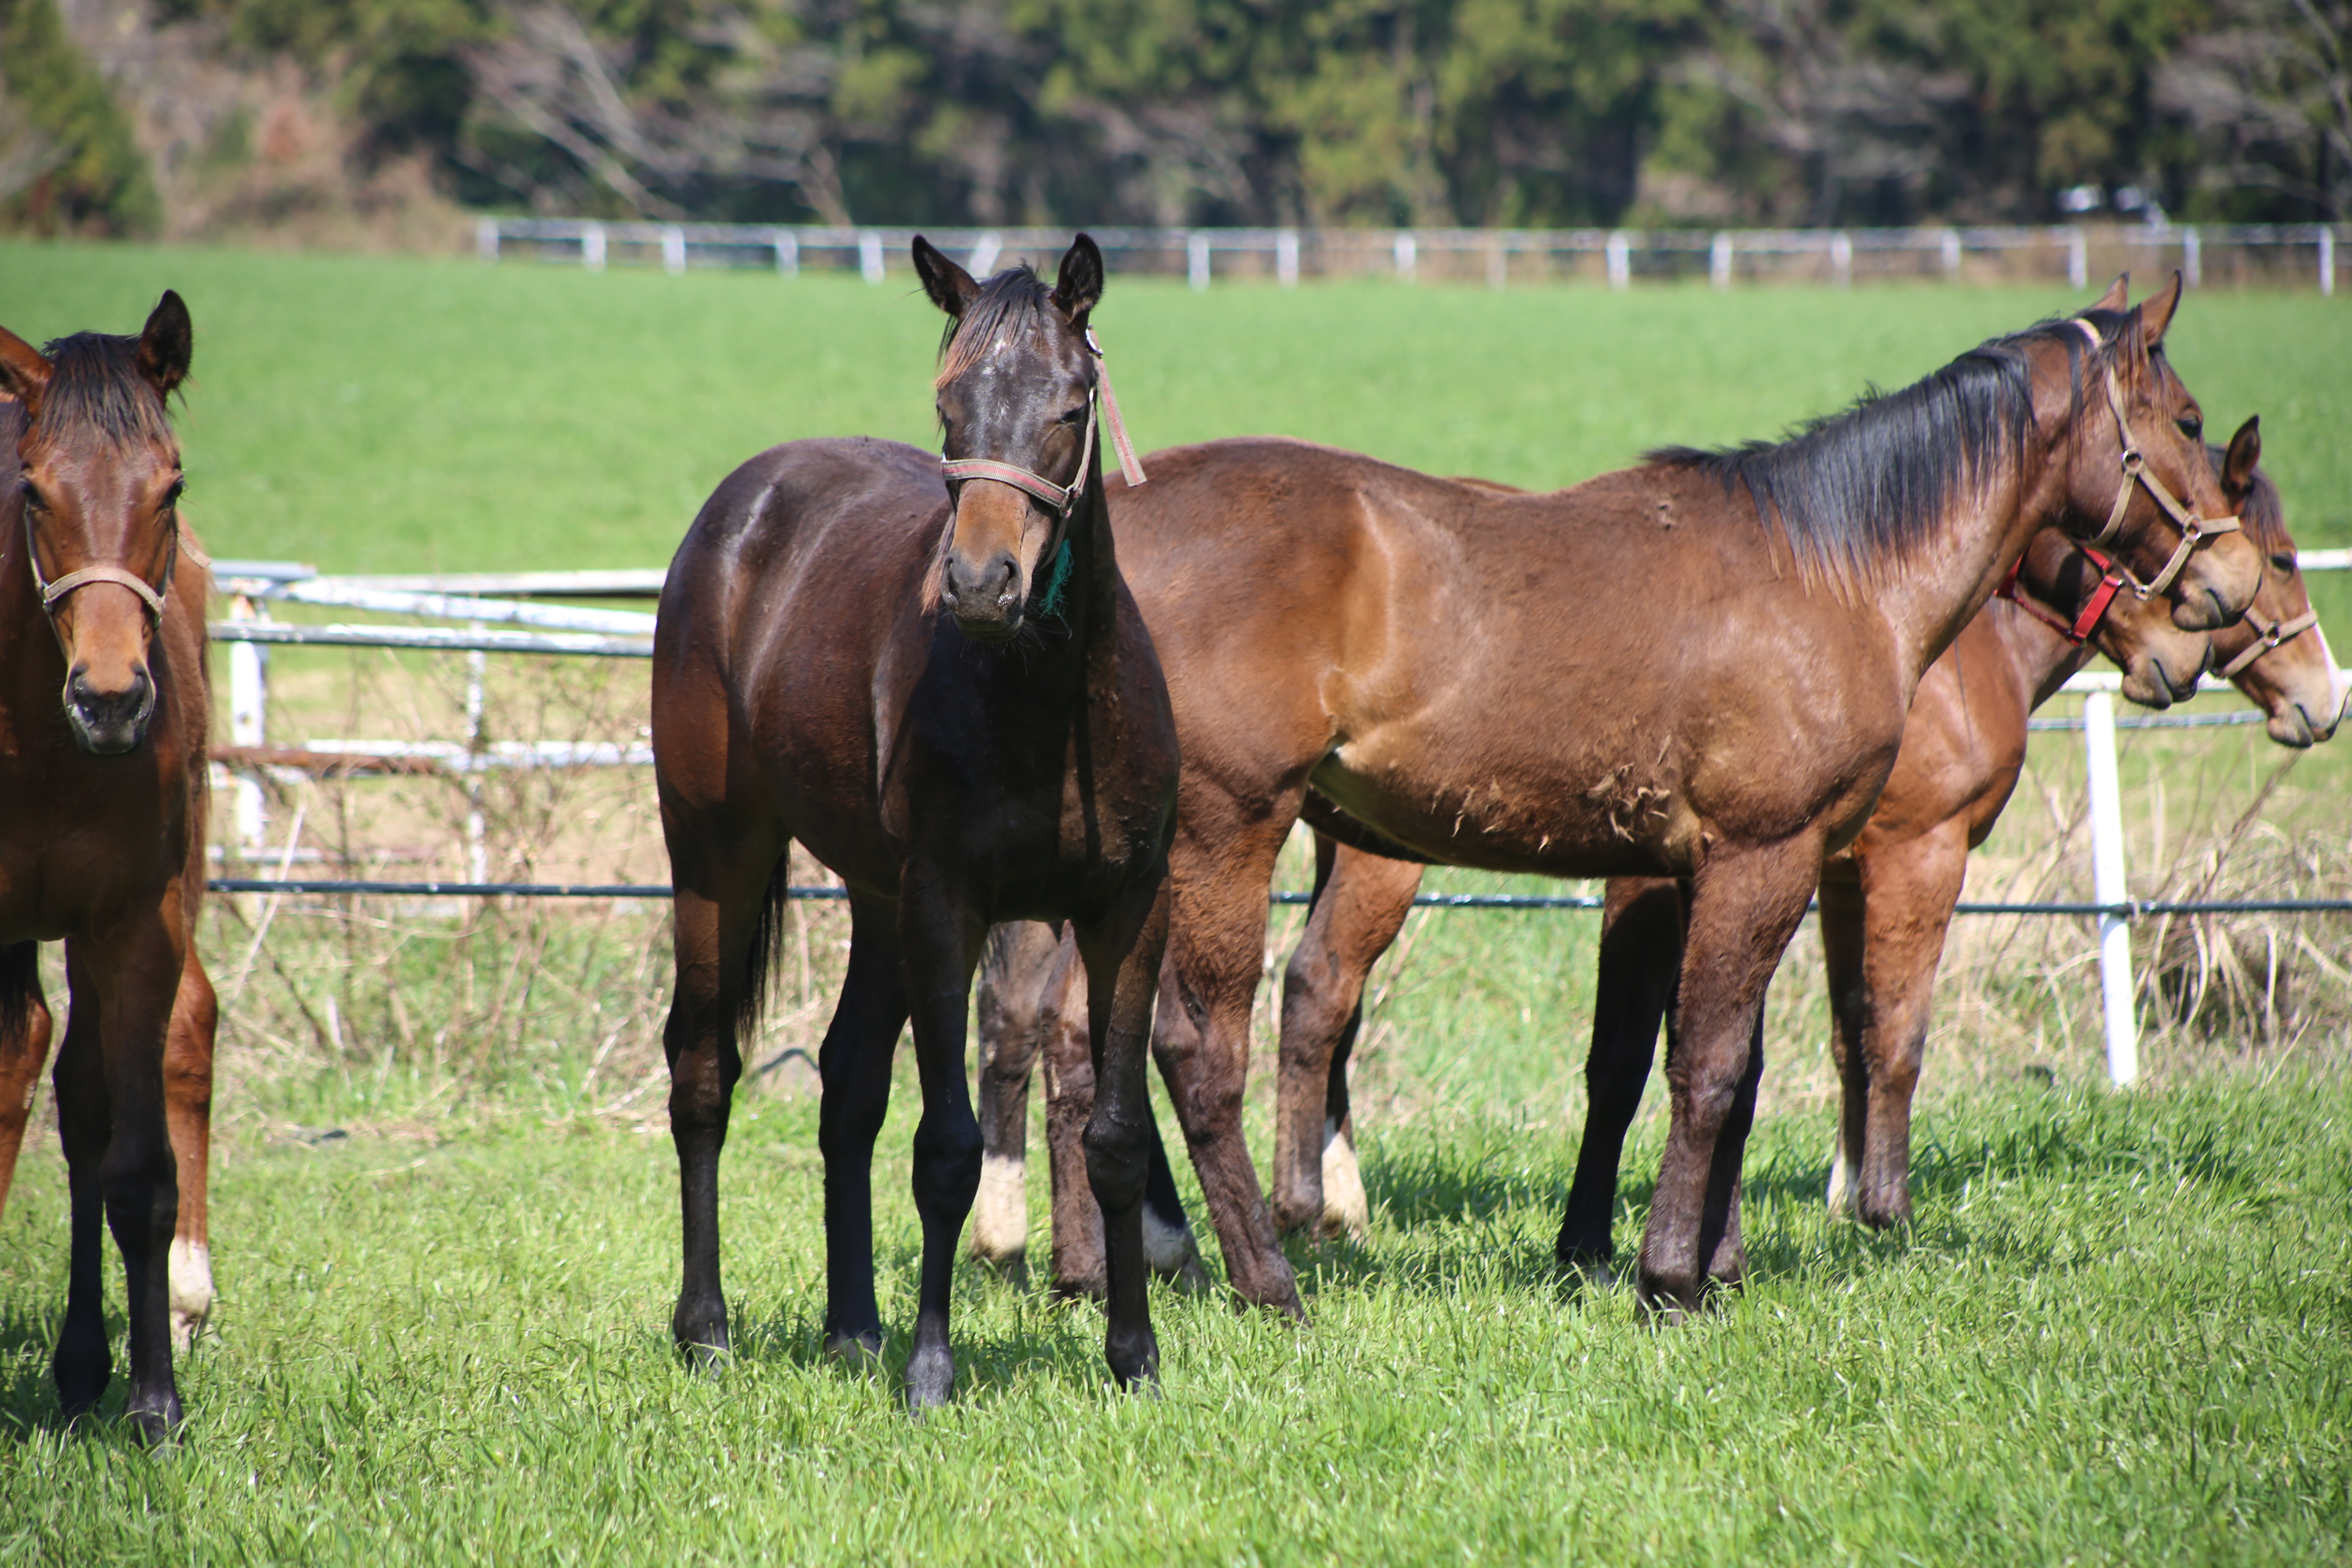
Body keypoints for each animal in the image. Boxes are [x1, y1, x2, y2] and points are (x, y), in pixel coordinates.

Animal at [649, 236, 1176, 1410]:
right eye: (949, 408)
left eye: (1070, 406)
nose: (982, 584)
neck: (1046, 697)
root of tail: (738, 508)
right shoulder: (950, 907)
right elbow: (948, 1149)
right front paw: (934, 1372)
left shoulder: (1125, 912)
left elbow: (1117, 1139)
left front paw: (1135, 1358)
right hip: (717, 857)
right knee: (703, 1073)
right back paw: (706, 1331)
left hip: (875, 894)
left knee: (847, 1086)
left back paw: (854, 1329)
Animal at [973, 276, 2258, 1316]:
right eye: (2190, 422)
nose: (2233, 582)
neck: (1829, 568)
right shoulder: (1762, 853)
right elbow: (1711, 1068)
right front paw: (1667, 1278)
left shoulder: (1739, 866)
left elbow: (1723, 1069)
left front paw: (1711, 1267)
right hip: (1227, 831)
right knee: (1195, 1048)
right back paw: (1263, 1280)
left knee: (1087, 1037)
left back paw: (1109, 1269)